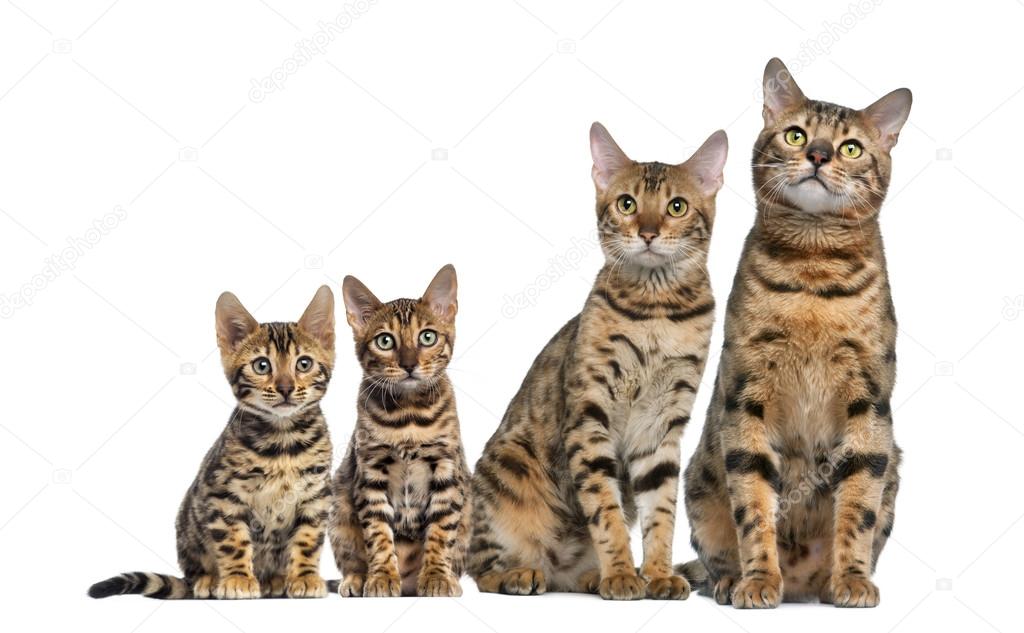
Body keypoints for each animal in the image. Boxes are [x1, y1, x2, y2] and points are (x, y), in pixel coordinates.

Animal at [88, 286, 335, 598]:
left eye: (304, 363)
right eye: (261, 365)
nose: (286, 388)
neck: (284, 439)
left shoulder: (316, 496)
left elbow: (308, 540)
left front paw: (305, 577)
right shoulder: (223, 494)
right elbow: (233, 540)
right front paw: (238, 579)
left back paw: (274, 580)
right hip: (188, 519)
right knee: (194, 570)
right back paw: (209, 580)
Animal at [327, 262, 471, 598]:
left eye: (427, 337)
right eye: (385, 341)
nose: (409, 364)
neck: (409, 415)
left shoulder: (447, 470)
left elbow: (440, 532)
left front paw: (436, 577)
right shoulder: (370, 472)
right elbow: (378, 534)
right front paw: (380, 577)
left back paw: (448, 579)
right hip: (339, 505)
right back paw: (357, 578)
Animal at [468, 121, 724, 598]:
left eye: (676, 207)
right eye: (627, 204)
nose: (647, 232)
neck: (656, 312)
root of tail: (555, 567)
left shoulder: (663, 427)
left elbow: (661, 513)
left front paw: (658, 573)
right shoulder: (590, 417)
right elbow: (605, 510)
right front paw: (622, 573)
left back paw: (590, 576)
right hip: (505, 468)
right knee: (479, 566)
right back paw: (520, 573)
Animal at [679, 57, 913, 606]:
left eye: (851, 147)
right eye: (795, 134)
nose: (819, 154)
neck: (812, 265)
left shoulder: (869, 403)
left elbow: (858, 509)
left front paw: (851, 579)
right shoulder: (746, 397)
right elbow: (753, 508)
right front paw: (759, 580)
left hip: (894, 462)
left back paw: (827, 584)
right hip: (698, 481)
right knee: (715, 554)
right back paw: (730, 581)